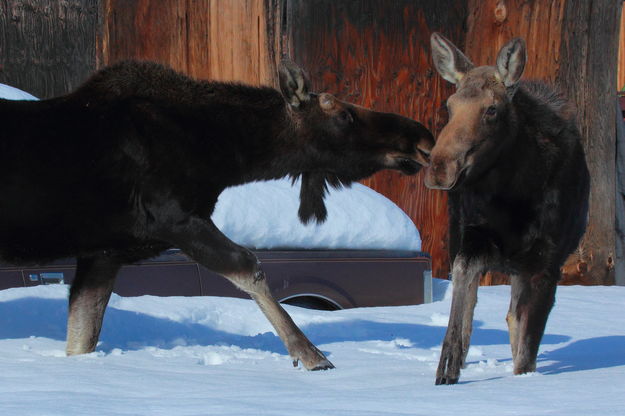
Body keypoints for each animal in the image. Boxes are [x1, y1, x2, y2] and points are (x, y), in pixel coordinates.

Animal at [0, 59, 434, 370]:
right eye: (343, 115)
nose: (423, 137)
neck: (222, 155)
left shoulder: (103, 251)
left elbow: (82, 335)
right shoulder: (176, 220)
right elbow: (249, 267)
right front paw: (310, 354)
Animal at [426, 32, 588, 384]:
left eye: (492, 109)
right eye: (449, 105)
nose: (439, 169)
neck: (514, 195)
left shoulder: (545, 263)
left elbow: (526, 349)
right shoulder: (473, 240)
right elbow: (463, 289)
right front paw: (448, 366)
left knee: (514, 319)